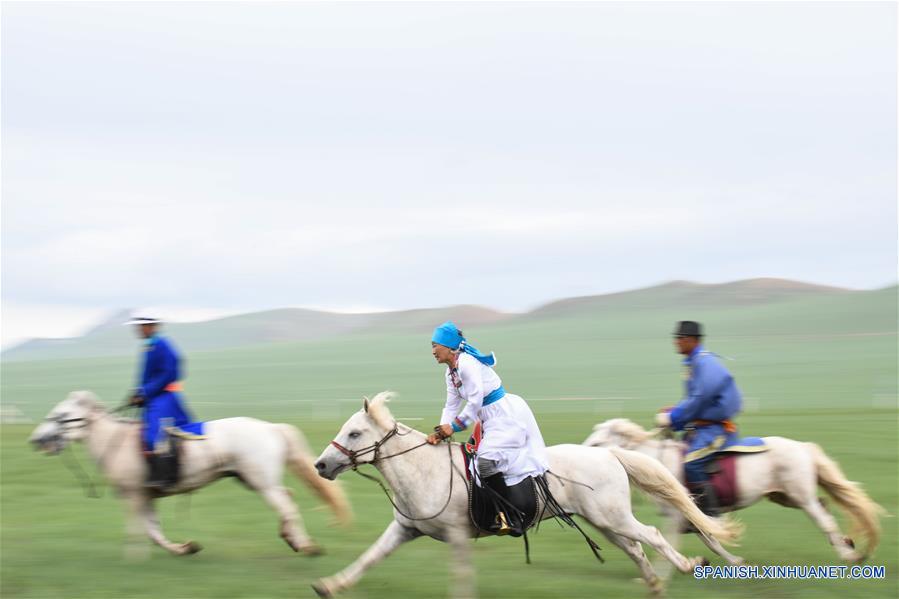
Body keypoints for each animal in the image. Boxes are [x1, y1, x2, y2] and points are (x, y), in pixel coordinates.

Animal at [29, 392, 352, 560]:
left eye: (60, 416)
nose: (37, 440)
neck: (116, 441)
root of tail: (271, 427)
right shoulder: (146, 497)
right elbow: (154, 530)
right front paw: (185, 548)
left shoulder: (134, 495)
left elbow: (139, 530)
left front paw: (134, 557)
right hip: (254, 480)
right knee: (287, 499)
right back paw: (295, 540)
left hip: (261, 482)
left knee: (286, 504)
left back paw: (304, 545)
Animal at [312, 394, 740, 599]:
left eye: (354, 433)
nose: (320, 465)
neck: (424, 470)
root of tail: (609, 453)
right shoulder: (404, 530)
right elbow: (369, 558)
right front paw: (329, 585)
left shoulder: (456, 536)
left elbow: (461, 574)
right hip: (605, 522)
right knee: (635, 549)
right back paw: (654, 585)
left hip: (614, 518)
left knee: (651, 535)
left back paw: (686, 566)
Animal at [584, 420, 884, 576]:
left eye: (597, 444)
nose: (581, 456)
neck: (658, 463)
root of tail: (803, 447)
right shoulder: (694, 520)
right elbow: (714, 543)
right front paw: (736, 563)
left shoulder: (677, 517)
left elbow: (667, 541)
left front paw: (666, 572)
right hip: (784, 496)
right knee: (825, 506)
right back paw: (847, 543)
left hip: (802, 498)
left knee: (823, 520)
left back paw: (848, 554)